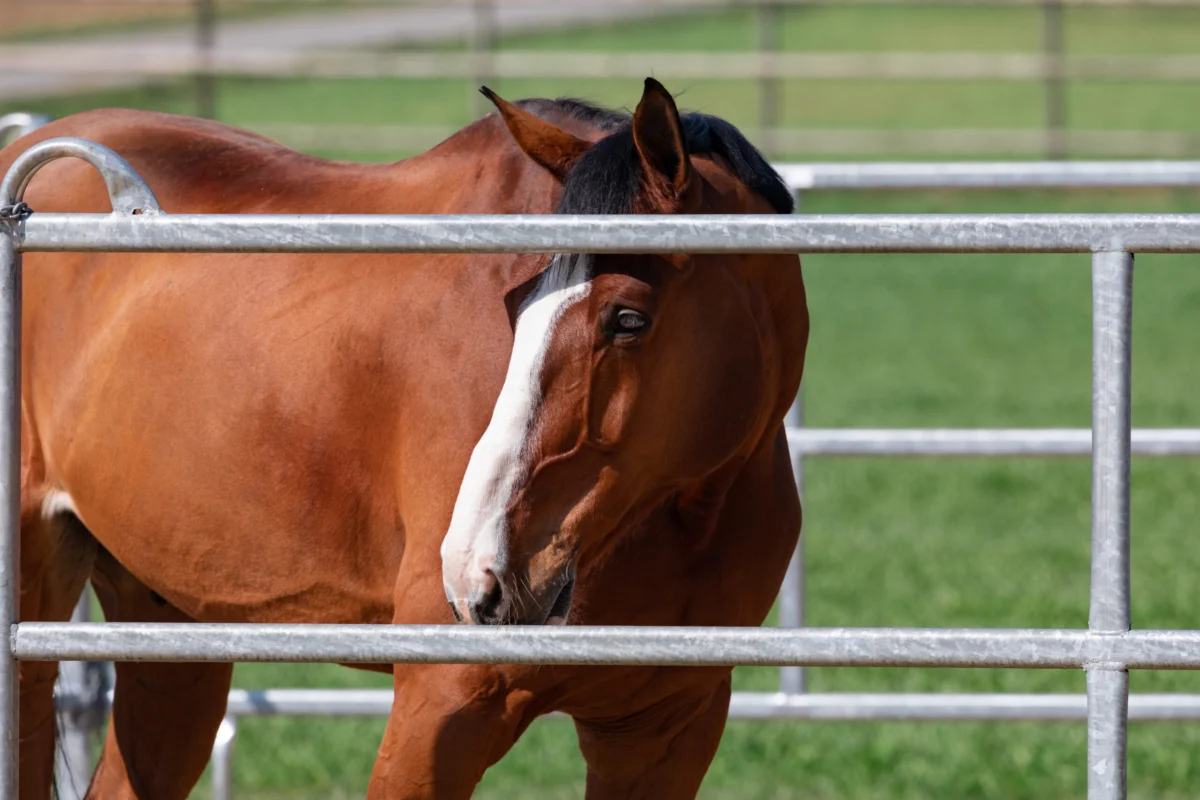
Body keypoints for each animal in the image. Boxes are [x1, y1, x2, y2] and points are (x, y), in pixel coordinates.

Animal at [1, 77, 808, 799]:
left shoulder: (662, 731)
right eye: (517, 304)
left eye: (628, 318)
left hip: (172, 635)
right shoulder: (439, 711)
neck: (687, 514)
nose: (477, 573)